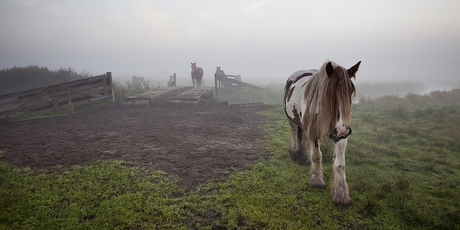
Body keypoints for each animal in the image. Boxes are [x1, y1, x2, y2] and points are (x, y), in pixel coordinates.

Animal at [282, 60, 362, 208]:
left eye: (351, 90)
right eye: (329, 92)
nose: (342, 129)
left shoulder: (341, 136)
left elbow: (340, 164)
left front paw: (341, 195)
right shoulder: (315, 133)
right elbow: (317, 155)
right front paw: (316, 181)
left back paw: (303, 157)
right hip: (291, 118)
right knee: (294, 131)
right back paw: (295, 152)